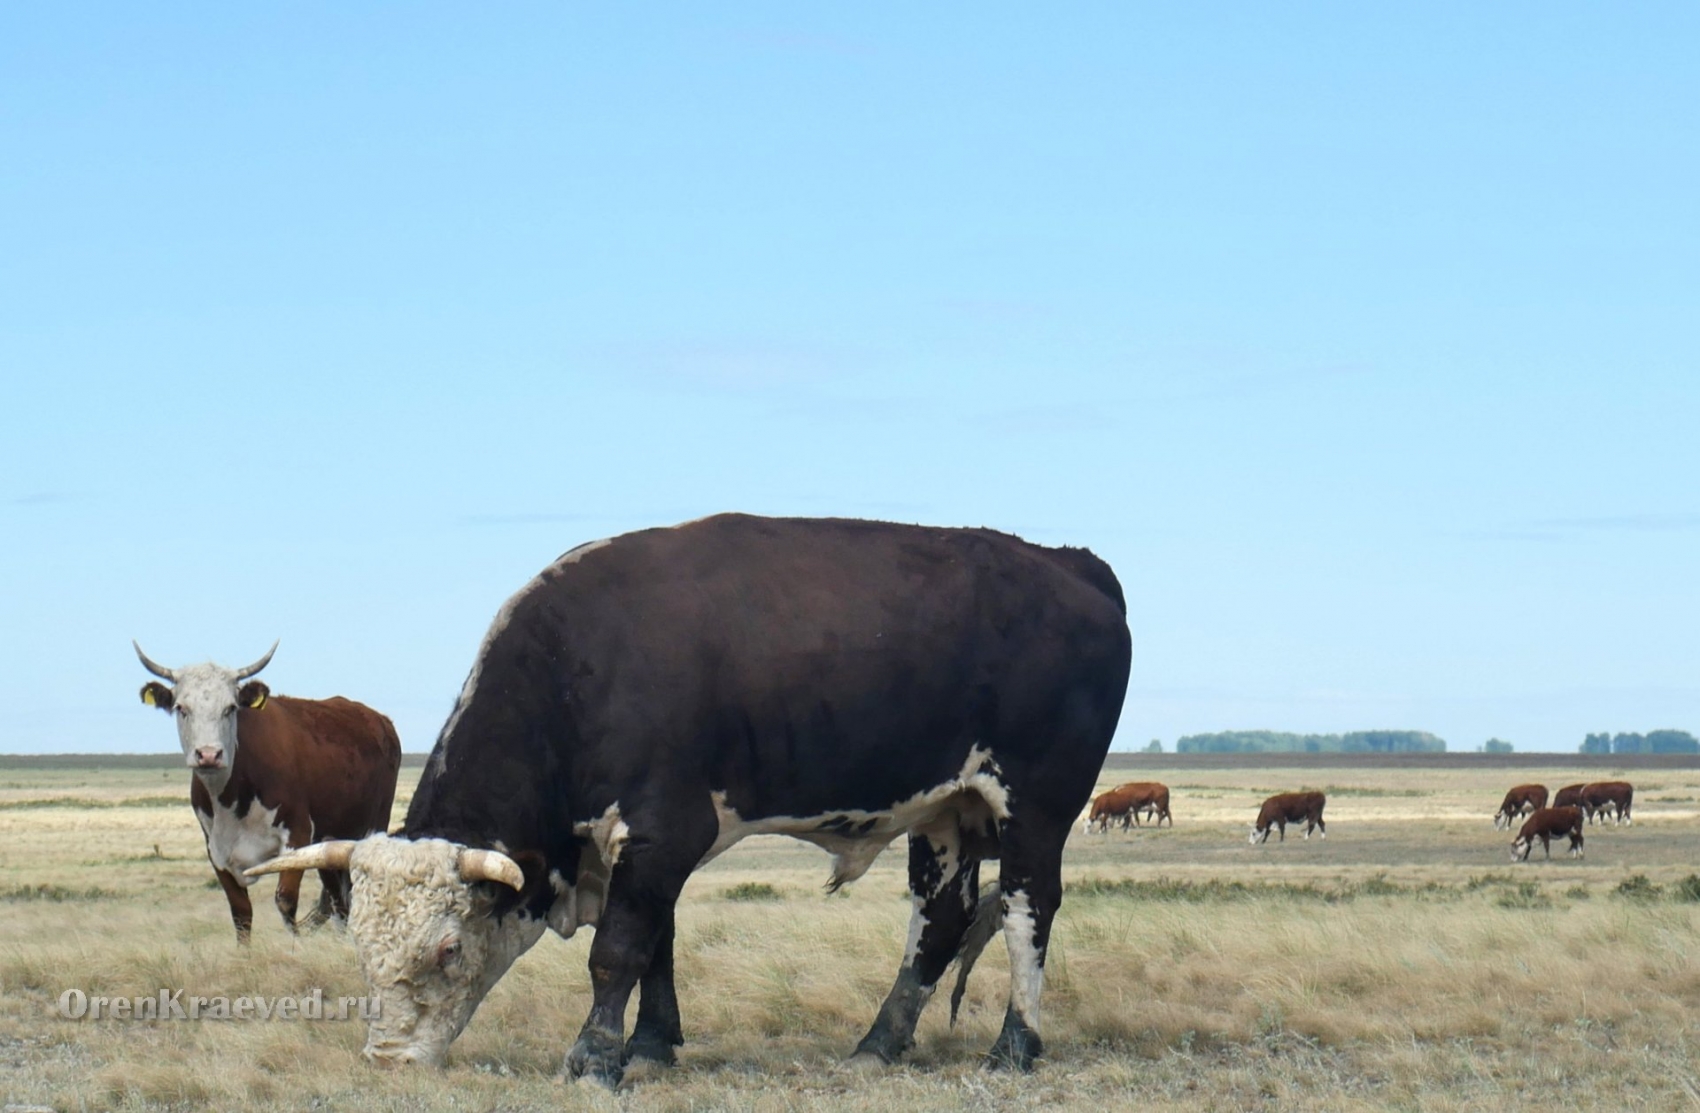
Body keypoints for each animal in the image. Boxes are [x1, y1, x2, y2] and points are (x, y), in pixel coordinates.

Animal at [134, 641, 402, 943]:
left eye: (230, 708)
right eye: (181, 708)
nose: (209, 755)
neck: (233, 800)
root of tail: (380, 720)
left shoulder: (297, 836)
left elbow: (285, 902)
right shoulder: (216, 850)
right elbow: (241, 913)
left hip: (372, 825)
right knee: (339, 903)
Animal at [248, 514, 1132, 1084]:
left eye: (447, 950)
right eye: (361, 948)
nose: (388, 1064)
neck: (577, 668)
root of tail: (1074, 564)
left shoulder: (665, 826)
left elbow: (619, 949)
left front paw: (595, 1057)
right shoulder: (643, 845)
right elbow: (657, 944)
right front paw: (649, 1042)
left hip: (1033, 806)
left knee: (1027, 909)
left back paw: (1015, 1045)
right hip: (944, 813)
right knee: (939, 921)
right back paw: (879, 1042)